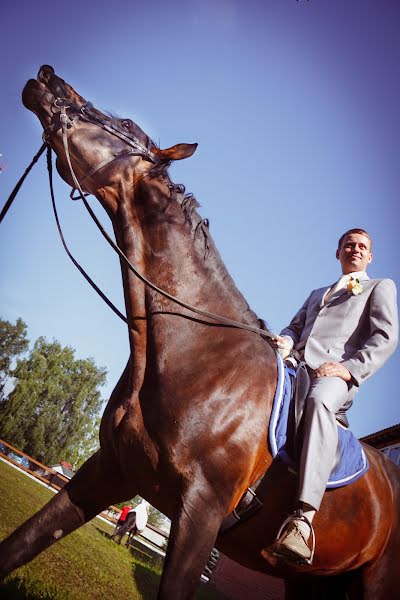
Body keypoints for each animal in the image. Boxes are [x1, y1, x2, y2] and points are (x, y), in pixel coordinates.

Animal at [0, 63, 400, 596]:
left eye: (124, 125)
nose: (47, 77)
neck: (196, 353)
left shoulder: (200, 514)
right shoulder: (106, 471)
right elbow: (20, 544)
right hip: (308, 579)